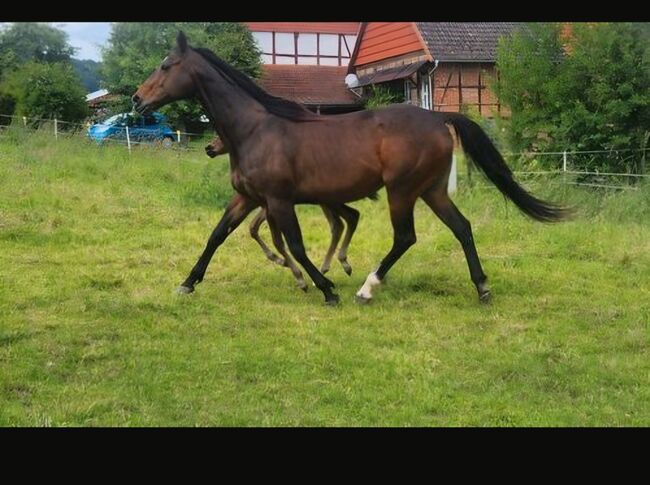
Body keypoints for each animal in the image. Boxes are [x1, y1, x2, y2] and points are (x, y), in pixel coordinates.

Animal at [133, 33, 568, 306]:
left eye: (166, 65)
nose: (137, 99)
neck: (254, 129)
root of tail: (438, 116)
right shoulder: (247, 198)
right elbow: (217, 236)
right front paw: (187, 284)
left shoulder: (278, 200)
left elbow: (295, 245)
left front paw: (326, 288)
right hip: (432, 190)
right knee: (461, 227)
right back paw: (482, 288)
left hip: (402, 192)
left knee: (405, 237)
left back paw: (367, 288)